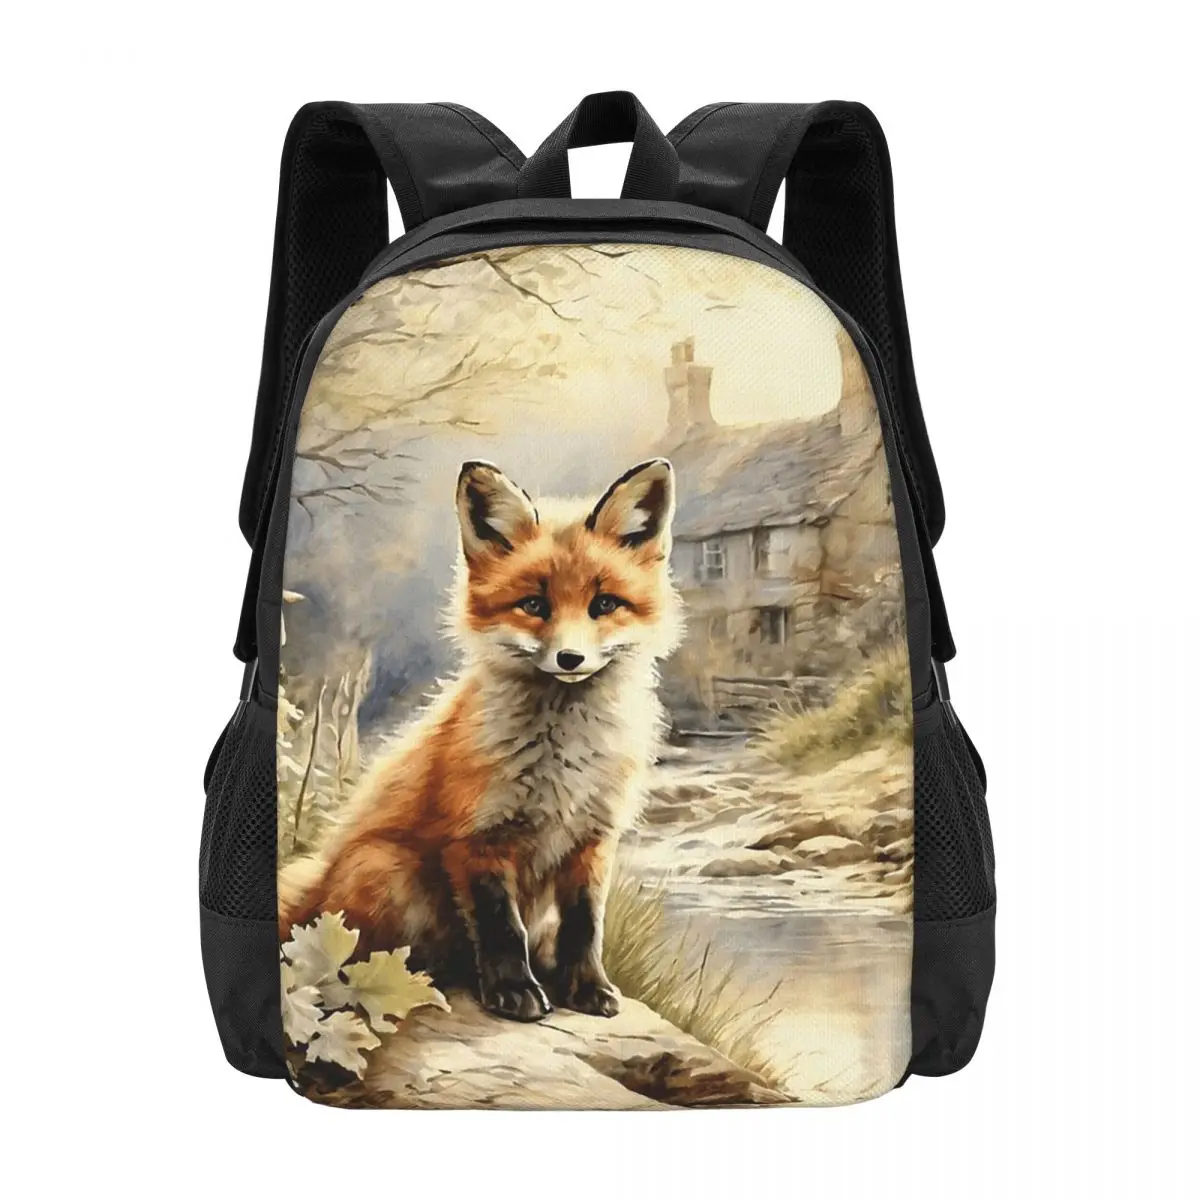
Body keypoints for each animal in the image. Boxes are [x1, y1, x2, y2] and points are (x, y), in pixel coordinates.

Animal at [279, 457, 682, 1022]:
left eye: (604, 604)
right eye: (533, 604)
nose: (570, 659)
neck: (562, 762)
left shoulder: (592, 840)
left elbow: (584, 927)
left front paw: (586, 988)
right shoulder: (477, 839)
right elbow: (501, 929)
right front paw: (515, 992)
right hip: (386, 868)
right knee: (362, 959)